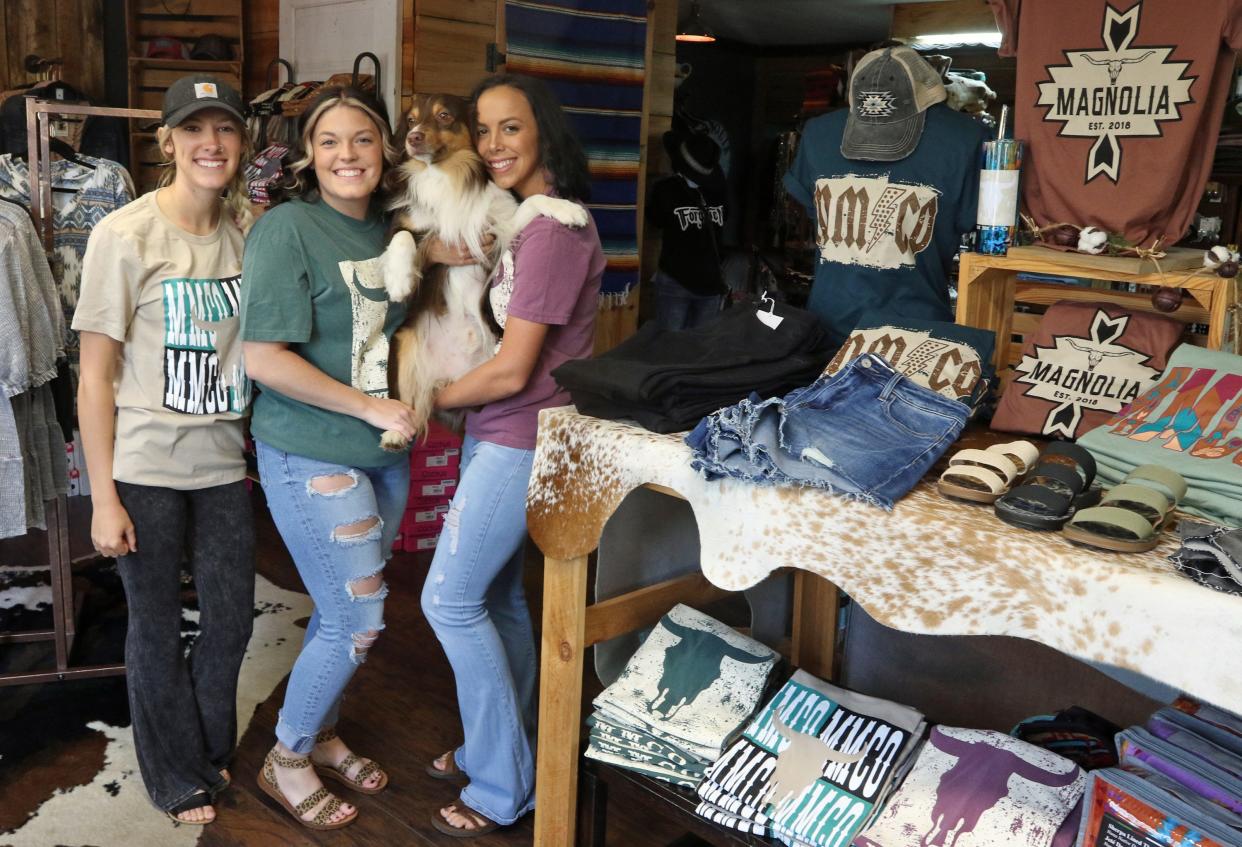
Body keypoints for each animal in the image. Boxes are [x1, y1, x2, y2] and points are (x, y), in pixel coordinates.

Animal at [377, 93, 586, 452]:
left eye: (444, 116)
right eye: (412, 119)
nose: (413, 138)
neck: (446, 175)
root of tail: (447, 377)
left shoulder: (497, 232)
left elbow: (534, 201)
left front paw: (568, 209)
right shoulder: (403, 225)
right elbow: (402, 239)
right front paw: (400, 281)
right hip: (402, 344)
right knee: (409, 405)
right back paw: (395, 434)